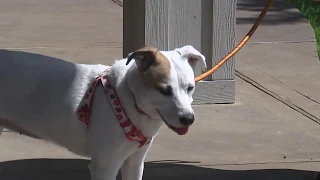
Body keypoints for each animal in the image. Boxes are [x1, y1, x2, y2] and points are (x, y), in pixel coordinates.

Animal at [0, 44, 205, 179]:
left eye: (190, 88)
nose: (188, 119)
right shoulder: (105, 165)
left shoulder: (134, 163)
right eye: (164, 90)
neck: (127, 97)